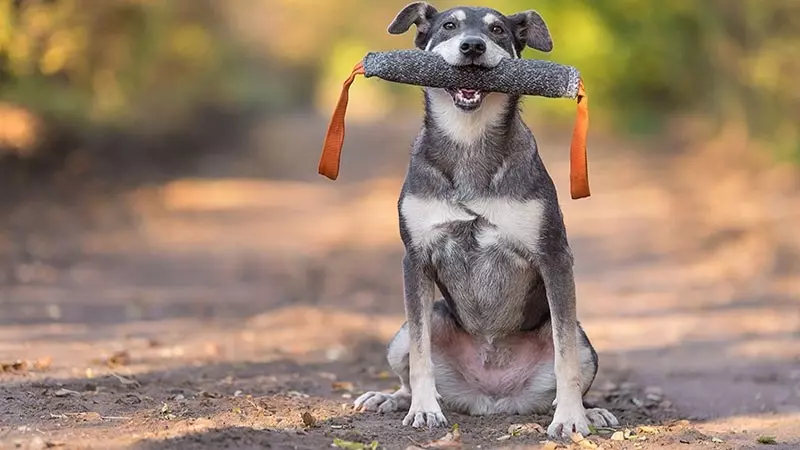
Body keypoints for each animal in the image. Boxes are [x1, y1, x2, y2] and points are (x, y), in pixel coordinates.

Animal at [352, 2, 620, 440]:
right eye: (449, 25)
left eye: (497, 30)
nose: (473, 46)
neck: (469, 141)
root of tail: (490, 398)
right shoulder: (415, 259)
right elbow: (422, 354)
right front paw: (424, 411)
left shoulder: (554, 257)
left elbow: (564, 357)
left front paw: (571, 419)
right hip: (405, 332)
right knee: (409, 366)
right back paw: (391, 399)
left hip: (584, 342)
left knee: (571, 366)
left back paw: (589, 411)